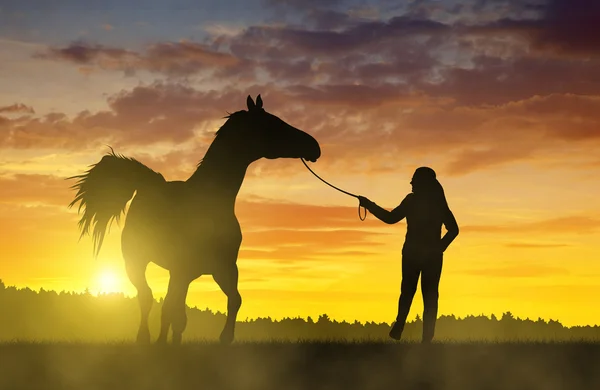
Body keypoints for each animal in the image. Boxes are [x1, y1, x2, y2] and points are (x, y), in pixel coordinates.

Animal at [68, 94, 322, 344]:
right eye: (272, 123)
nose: (314, 147)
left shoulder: (223, 268)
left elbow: (233, 300)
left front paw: (224, 339)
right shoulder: (183, 268)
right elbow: (170, 308)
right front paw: (163, 344)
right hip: (137, 261)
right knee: (147, 297)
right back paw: (145, 338)